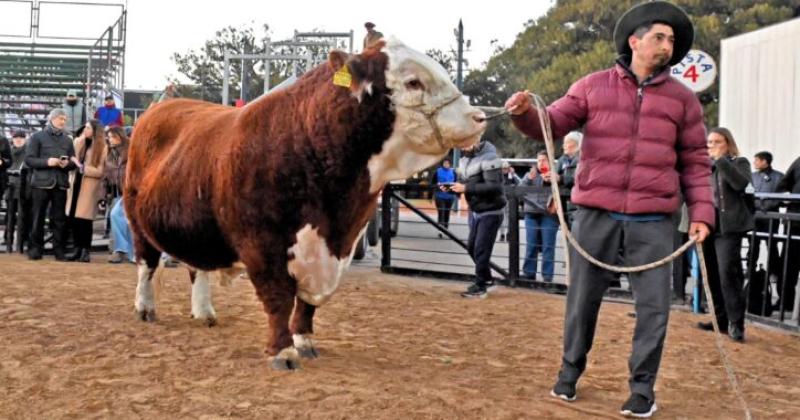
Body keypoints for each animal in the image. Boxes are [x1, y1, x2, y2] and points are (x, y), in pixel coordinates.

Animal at [128, 38, 484, 368]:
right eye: (413, 82)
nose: (479, 117)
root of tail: (159, 109)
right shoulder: (262, 243)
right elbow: (280, 298)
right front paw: (283, 351)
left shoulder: (338, 246)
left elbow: (307, 303)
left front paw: (304, 340)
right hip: (137, 221)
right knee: (147, 263)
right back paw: (145, 308)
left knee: (196, 266)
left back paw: (204, 312)